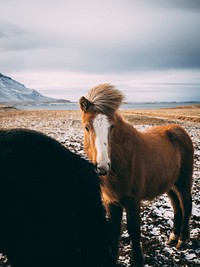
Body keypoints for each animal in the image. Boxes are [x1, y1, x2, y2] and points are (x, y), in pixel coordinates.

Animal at [79, 85, 194, 267]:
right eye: (86, 127)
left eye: (112, 127)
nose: (102, 167)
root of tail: (179, 130)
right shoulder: (111, 201)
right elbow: (114, 230)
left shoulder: (133, 200)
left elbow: (134, 229)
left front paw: (139, 260)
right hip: (169, 184)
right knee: (176, 206)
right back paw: (173, 237)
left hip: (183, 181)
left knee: (186, 204)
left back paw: (182, 240)